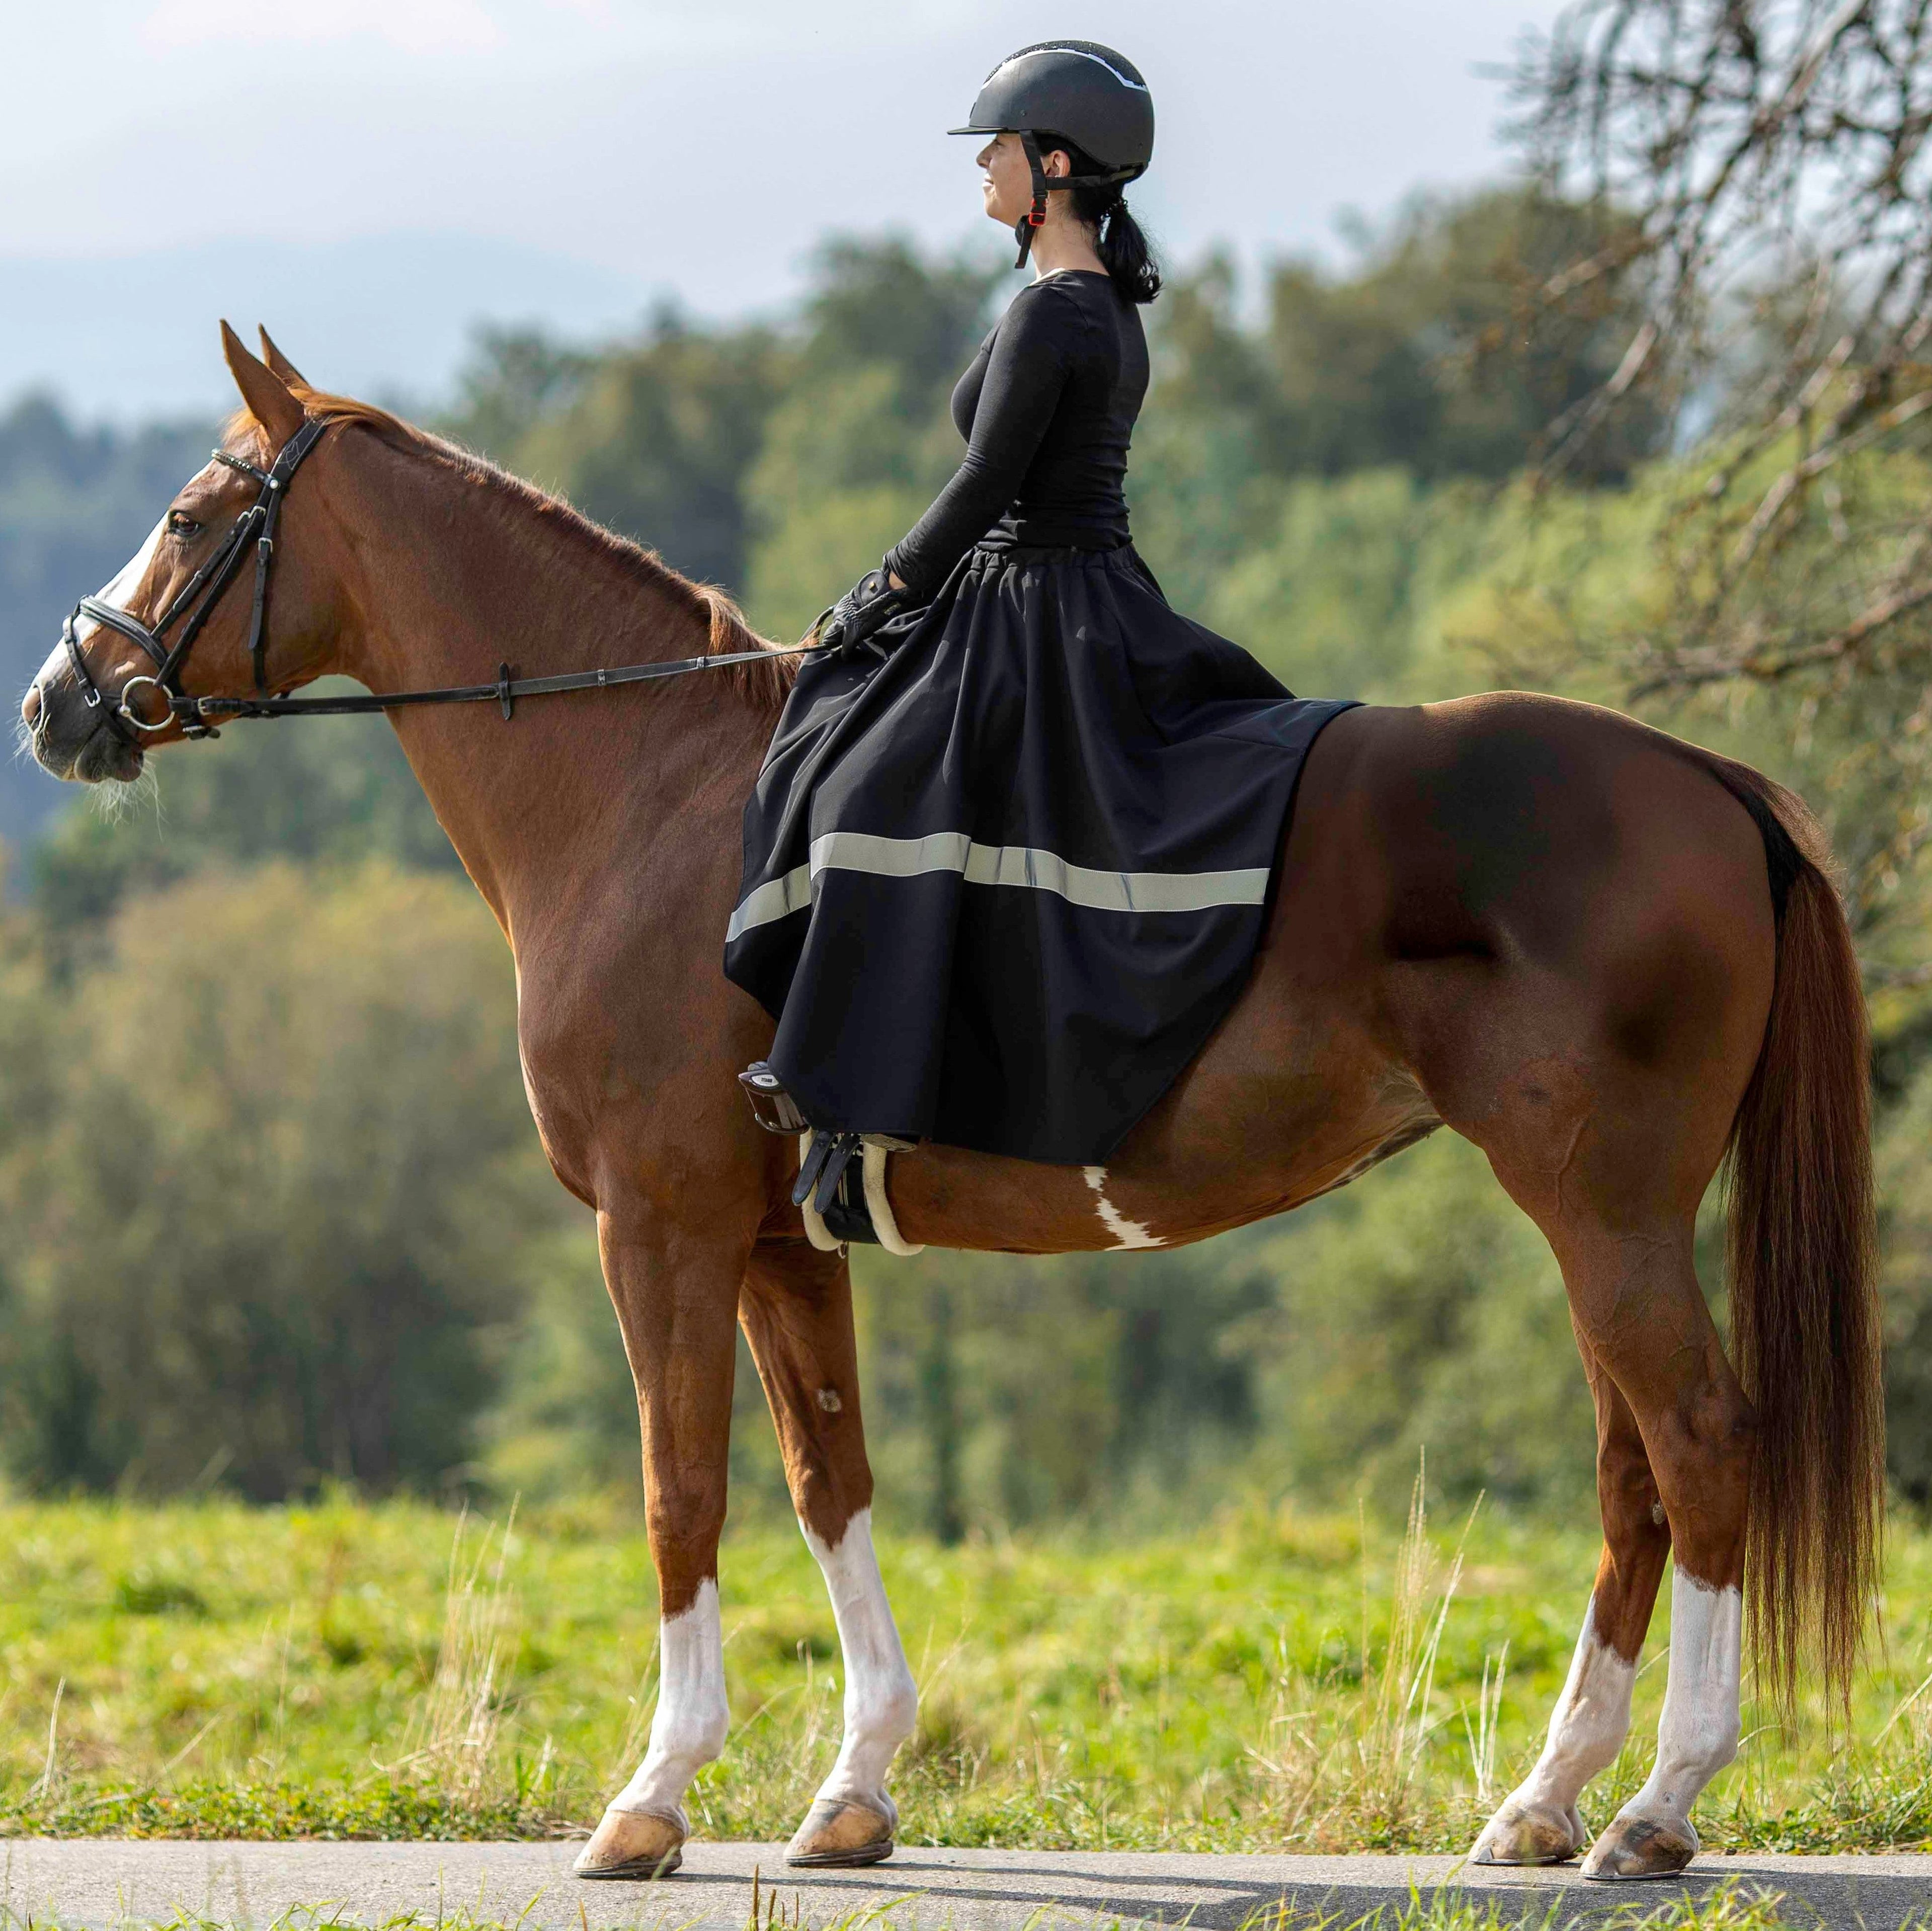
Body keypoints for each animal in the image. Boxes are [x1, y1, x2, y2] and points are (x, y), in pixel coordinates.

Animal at [23, 325, 1882, 1884]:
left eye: (194, 512)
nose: (59, 701)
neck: (647, 794)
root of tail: (1703, 775)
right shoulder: (781, 1241)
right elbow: (825, 1477)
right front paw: (853, 1786)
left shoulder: (663, 1224)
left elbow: (678, 1489)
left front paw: (653, 1796)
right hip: (1597, 1217)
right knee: (1636, 1471)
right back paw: (1547, 1799)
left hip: (1606, 1209)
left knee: (1700, 1441)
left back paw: (1654, 1805)